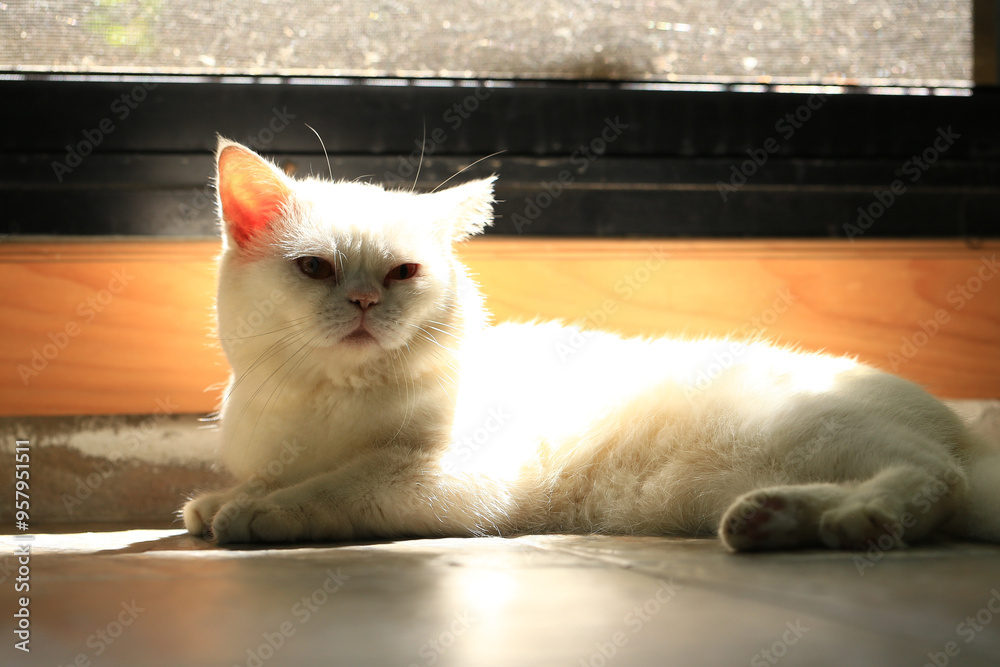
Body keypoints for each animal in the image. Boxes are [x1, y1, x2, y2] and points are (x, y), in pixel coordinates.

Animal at [184, 138, 996, 552]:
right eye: (315, 268)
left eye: (402, 272)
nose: (362, 301)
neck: (323, 405)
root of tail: (965, 431)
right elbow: (265, 480)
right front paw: (224, 500)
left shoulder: (437, 479)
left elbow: (335, 485)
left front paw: (258, 513)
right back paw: (768, 521)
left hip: (816, 431)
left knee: (934, 481)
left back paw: (860, 520)